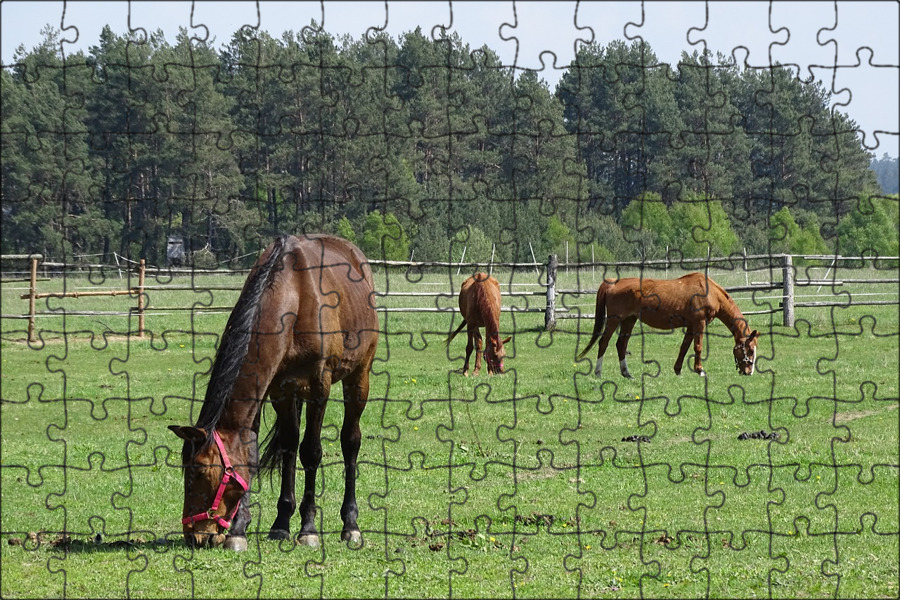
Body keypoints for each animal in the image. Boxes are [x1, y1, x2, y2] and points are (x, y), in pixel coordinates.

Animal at [168, 232, 376, 552]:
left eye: (200, 470)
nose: (194, 536)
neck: (294, 298)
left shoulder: (319, 386)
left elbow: (311, 452)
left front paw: (308, 529)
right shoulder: (278, 389)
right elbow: (262, 450)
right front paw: (252, 528)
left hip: (359, 376)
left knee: (350, 442)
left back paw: (350, 524)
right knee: (290, 444)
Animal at [576, 274, 760, 378]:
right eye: (750, 350)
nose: (749, 372)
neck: (710, 292)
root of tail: (613, 282)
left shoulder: (691, 326)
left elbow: (684, 347)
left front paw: (678, 369)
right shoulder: (699, 323)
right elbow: (698, 347)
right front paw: (700, 370)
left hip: (629, 320)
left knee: (621, 345)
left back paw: (627, 373)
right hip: (614, 320)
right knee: (603, 343)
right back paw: (598, 372)